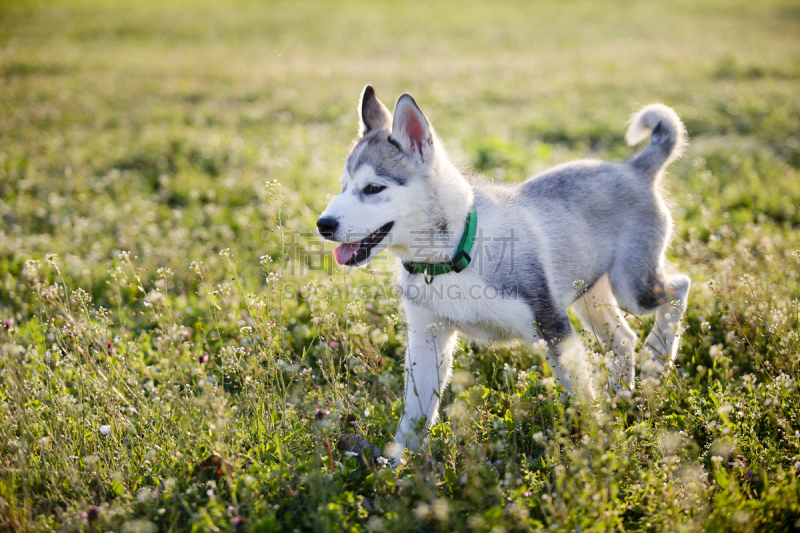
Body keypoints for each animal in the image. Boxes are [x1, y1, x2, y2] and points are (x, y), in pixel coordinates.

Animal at [316, 86, 692, 462]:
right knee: (624, 339)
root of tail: (633, 168)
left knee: (678, 287)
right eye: (343, 186)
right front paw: (396, 466)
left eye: (373, 188)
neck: (451, 255)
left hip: (632, 288)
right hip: (589, 297)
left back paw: (658, 358)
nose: (323, 224)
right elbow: (414, 416)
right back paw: (622, 395)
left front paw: (596, 447)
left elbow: (581, 396)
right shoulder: (426, 337)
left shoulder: (553, 326)